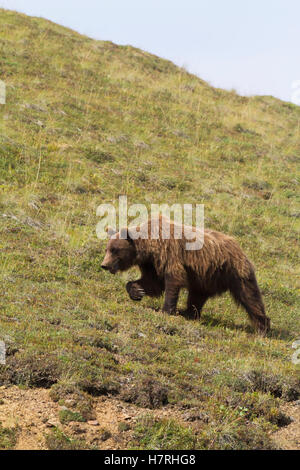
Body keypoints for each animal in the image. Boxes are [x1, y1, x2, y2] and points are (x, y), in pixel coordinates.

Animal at [101, 217, 270, 334]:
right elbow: (152, 283)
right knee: (196, 296)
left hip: (234, 271)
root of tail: (238, 246)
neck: (150, 246)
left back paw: (263, 327)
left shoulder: (170, 254)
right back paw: (188, 313)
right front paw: (137, 291)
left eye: (115, 250)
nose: (104, 265)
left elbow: (173, 281)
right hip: (205, 277)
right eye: (107, 249)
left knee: (249, 296)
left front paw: (166, 310)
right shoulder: (151, 263)